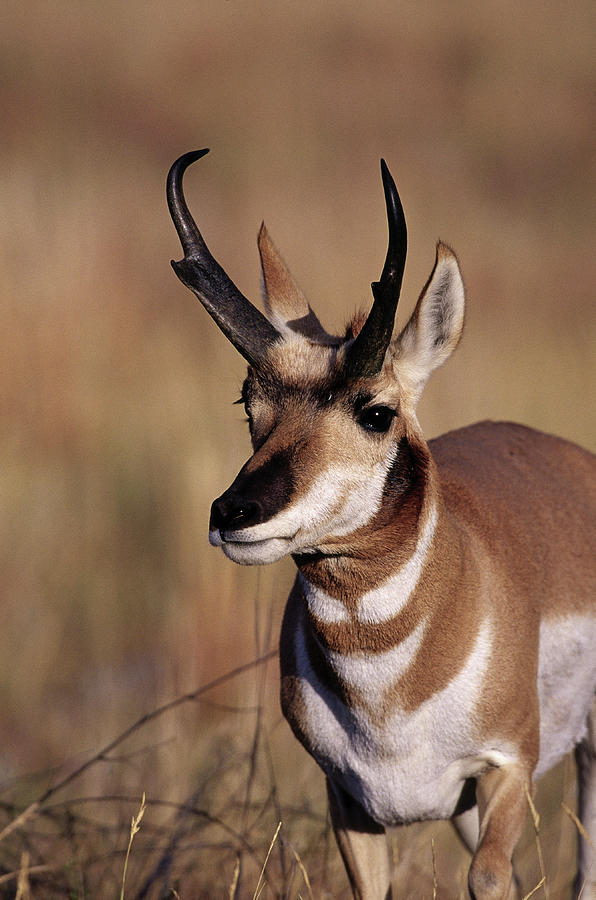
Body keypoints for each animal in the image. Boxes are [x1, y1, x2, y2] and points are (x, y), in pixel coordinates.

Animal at [166, 151, 596, 896]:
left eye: (376, 412)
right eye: (249, 401)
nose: (233, 514)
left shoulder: (507, 771)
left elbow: (489, 880)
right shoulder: (350, 801)